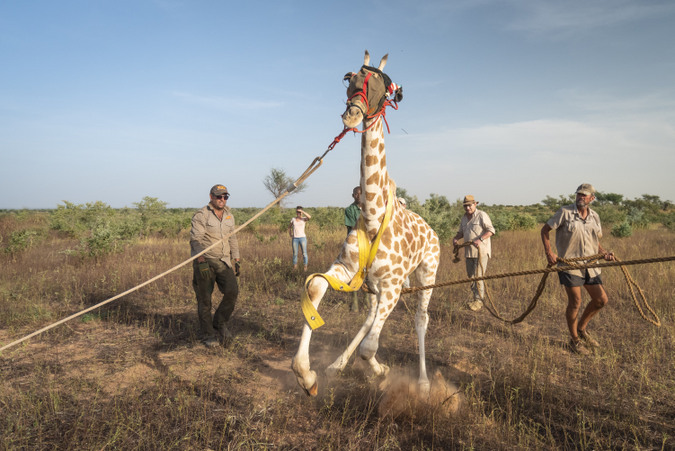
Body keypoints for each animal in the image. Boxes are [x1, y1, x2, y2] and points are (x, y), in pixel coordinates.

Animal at [292, 51, 444, 398]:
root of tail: (432, 231)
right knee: (371, 317)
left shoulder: (394, 284)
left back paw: (423, 383)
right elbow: (316, 287)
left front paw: (382, 372)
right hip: (375, 285)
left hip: (426, 272)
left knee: (422, 318)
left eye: (381, 83)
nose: (351, 115)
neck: (374, 215)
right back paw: (337, 365)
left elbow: (370, 348)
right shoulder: (348, 269)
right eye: (349, 78)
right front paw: (307, 374)